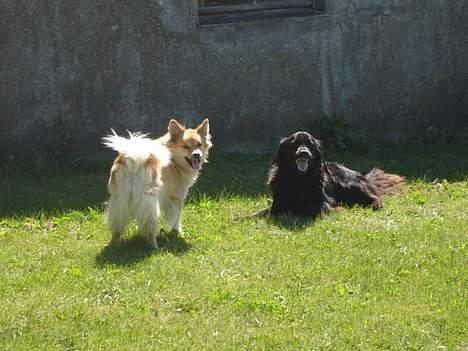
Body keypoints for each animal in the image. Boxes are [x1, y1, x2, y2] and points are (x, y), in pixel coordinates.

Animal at [103, 119, 213, 249]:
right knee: (150, 227)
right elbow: (176, 218)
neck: (173, 159)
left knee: (117, 227)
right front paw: (177, 232)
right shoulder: (177, 198)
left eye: (199, 145)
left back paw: (113, 245)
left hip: (120, 200)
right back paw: (155, 247)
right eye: (185, 146)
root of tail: (133, 159)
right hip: (149, 202)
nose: (197, 155)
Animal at [266, 132, 406, 219]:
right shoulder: (278, 204)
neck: (299, 179)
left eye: (310, 144)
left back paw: (375, 204)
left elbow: (317, 207)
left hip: (347, 182)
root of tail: (364, 177)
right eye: (294, 143)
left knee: (375, 197)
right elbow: (268, 211)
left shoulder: (326, 201)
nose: (304, 152)